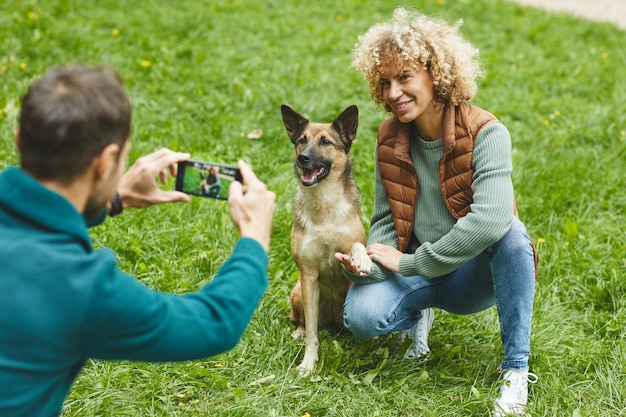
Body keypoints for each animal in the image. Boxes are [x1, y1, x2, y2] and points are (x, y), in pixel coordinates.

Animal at [280, 103, 370, 374]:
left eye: (326, 142)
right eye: (302, 140)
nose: (302, 158)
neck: (324, 208)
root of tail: (332, 322)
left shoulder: (350, 244)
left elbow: (358, 245)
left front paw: (363, 259)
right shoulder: (308, 276)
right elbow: (312, 333)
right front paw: (308, 363)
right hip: (298, 291)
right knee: (304, 321)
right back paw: (298, 332)